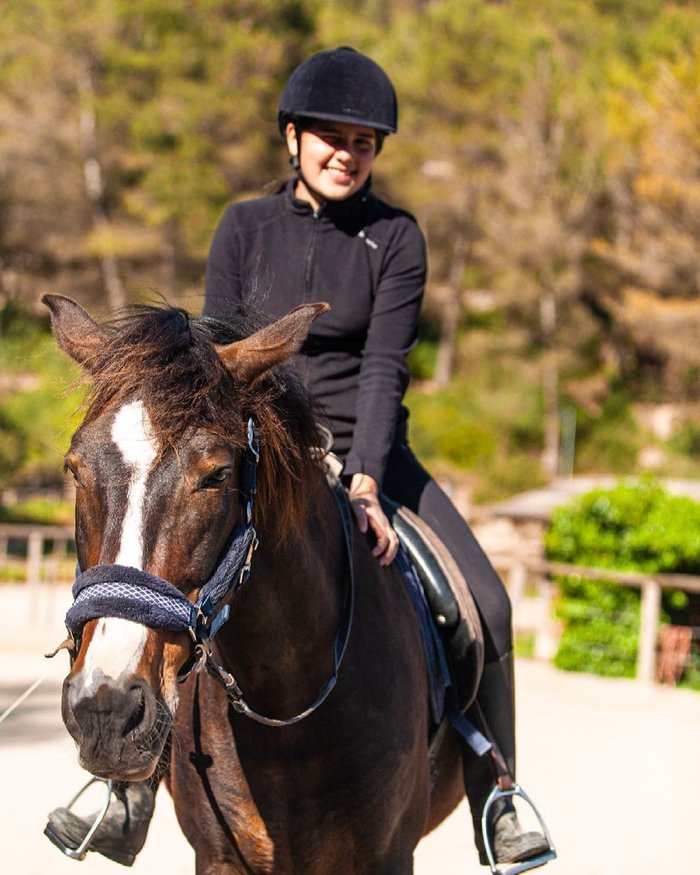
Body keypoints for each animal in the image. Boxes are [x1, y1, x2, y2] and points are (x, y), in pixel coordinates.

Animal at [46, 296, 468, 875]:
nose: (104, 708)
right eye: (75, 469)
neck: (289, 716)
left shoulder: (388, 857)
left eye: (217, 475)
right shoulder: (220, 856)